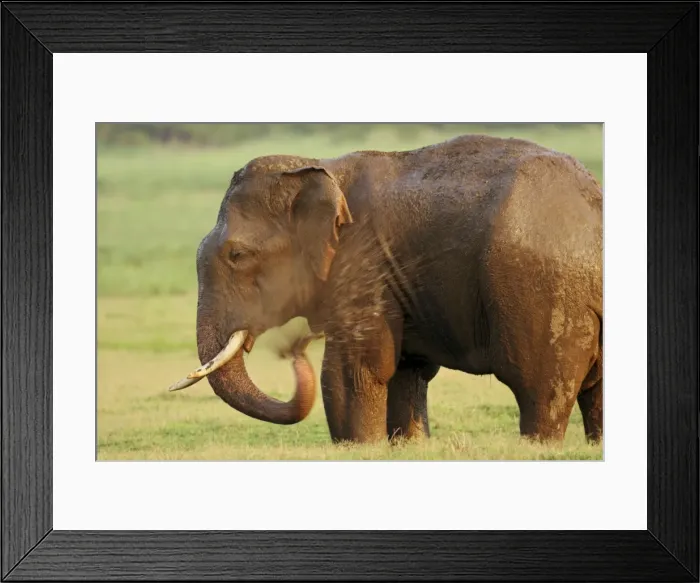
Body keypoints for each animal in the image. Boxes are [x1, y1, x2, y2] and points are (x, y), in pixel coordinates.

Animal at [169, 134, 603, 445]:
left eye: (237, 255)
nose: (294, 350)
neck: (323, 168)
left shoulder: (363, 266)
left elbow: (354, 369)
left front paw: (359, 447)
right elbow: (408, 369)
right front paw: (409, 445)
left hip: (543, 294)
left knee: (539, 388)